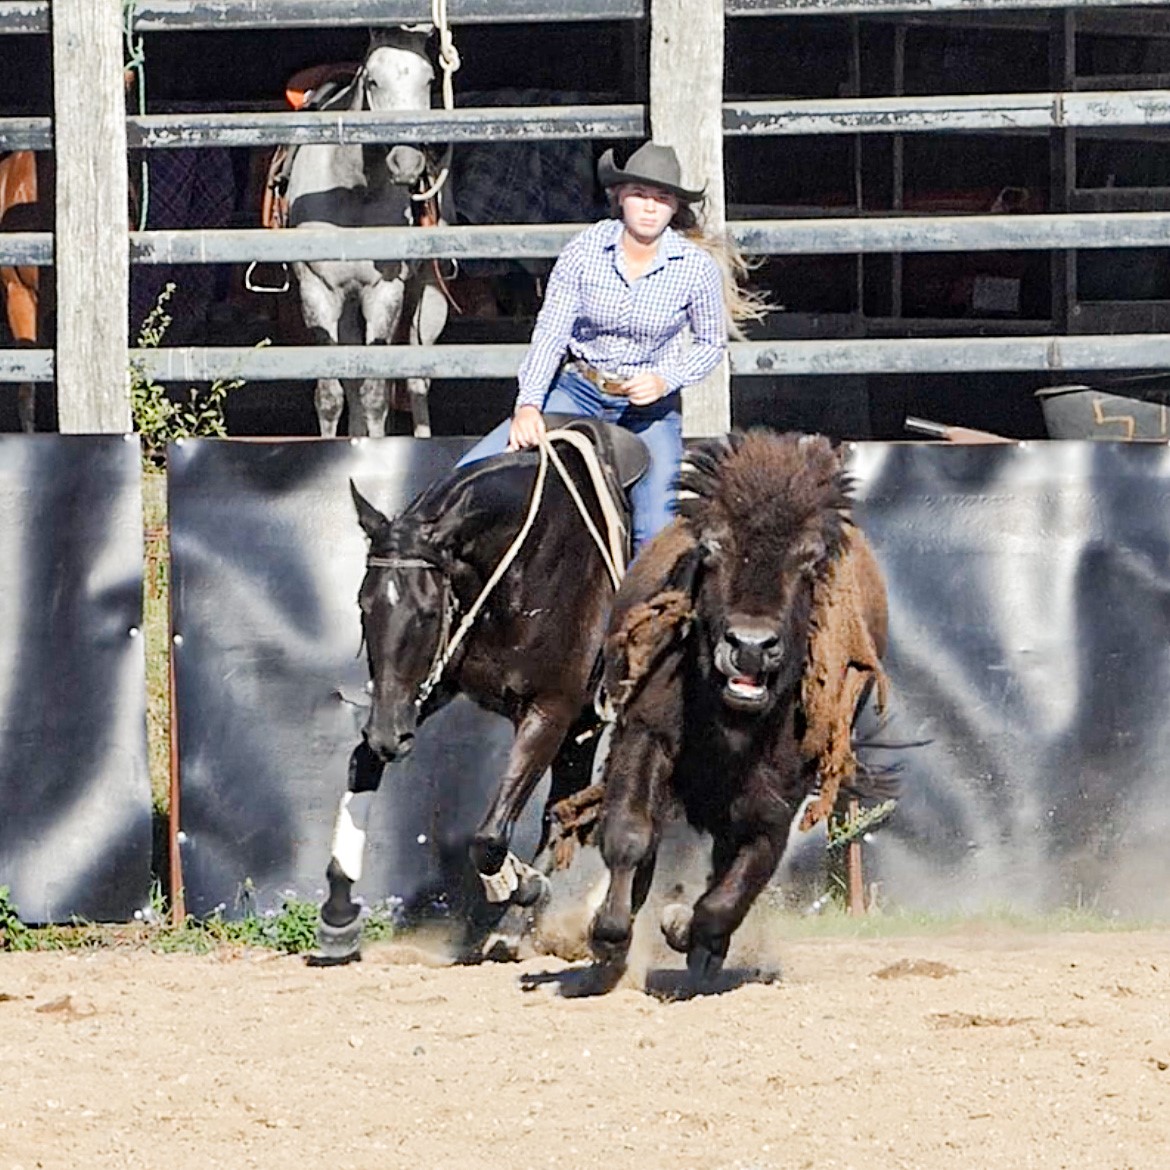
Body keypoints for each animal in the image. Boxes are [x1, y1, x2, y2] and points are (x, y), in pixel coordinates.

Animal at [283, 28, 453, 440]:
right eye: (374, 80)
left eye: (429, 80)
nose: (407, 162)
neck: (353, 188)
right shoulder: (318, 291)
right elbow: (332, 393)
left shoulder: (385, 290)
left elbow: (377, 391)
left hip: (428, 297)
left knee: (416, 380)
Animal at [316, 417, 649, 962]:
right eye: (364, 605)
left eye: (428, 611)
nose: (388, 736)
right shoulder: (424, 689)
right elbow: (362, 764)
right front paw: (339, 915)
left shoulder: (550, 711)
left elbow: (489, 835)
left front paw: (521, 884)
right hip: (581, 731)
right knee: (565, 811)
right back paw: (518, 928)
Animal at [589, 430, 889, 986]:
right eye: (713, 548)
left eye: (808, 558)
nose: (750, 645)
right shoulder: (645, 734)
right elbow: (629, 833)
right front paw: (609, 938)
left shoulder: (779, 795)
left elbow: (739, 881)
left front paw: (687, 932)